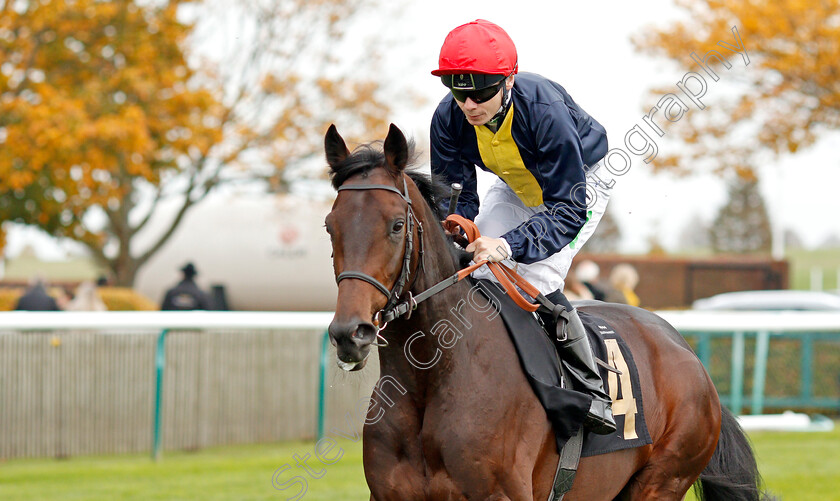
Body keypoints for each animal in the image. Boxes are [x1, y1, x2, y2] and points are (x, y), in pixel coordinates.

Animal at [324, 122, 772, 500]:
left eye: (397, 225)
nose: (351, 333)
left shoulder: (502, 495)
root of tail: (687, 353)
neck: (432, 378)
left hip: (662, 480)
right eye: (330, 226)